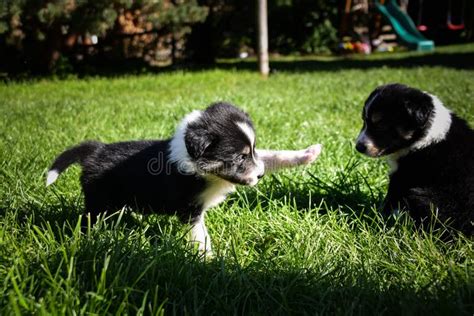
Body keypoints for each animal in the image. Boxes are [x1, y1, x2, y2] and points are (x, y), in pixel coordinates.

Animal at [46, 102, 322, 253]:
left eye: (251, 151)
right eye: (239, 157)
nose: (261, 175)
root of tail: (96, 150)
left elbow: (272, 154)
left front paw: (308, 153)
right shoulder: (189, 208)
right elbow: (201, 236)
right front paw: (210, 261)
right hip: (98, 203)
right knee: (88, 221)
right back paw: (86, 241)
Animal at [358, 84, 472, 235]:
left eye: (380, 124)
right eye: (364, 121)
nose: (358, 146)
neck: (426, 133)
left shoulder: (402, 176)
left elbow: (389, 201)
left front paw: (377, 217)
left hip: (422, 198)